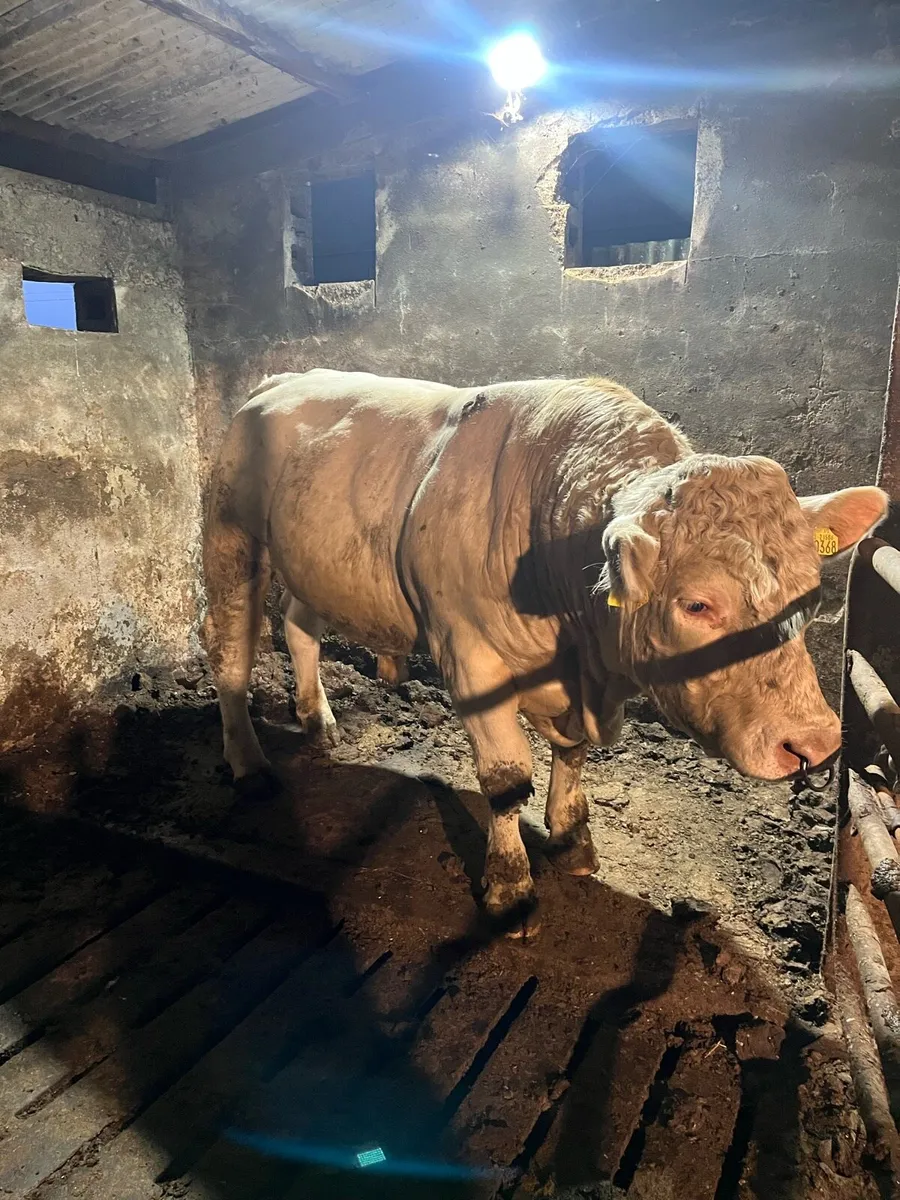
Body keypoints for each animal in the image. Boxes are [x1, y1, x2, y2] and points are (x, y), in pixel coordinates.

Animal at [202, 368, 887, 937]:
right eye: (697, 605)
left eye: (810, 593)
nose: (814, 743)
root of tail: (286, 377)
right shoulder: (468, 654)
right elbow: (506, 779)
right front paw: (510, 889)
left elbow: (573, 754)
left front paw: (571, 836)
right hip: (231, 534)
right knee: (230, 649)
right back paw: (249, 762)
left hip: (317, 562)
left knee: (299, 626)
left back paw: (318, 718)